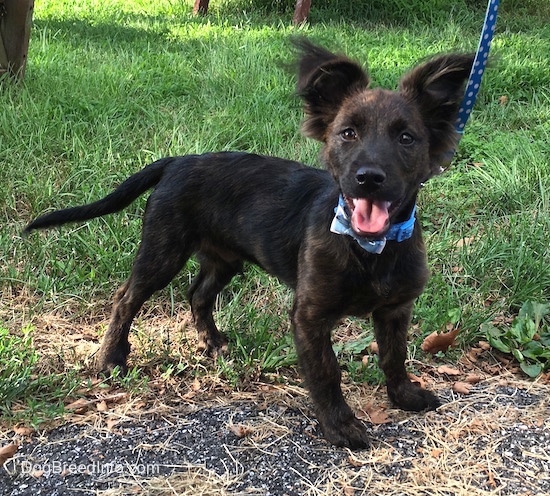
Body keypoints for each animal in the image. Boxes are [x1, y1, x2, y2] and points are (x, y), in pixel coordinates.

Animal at [23, 39, 476, 450]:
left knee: (198, 294)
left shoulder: (396, 309)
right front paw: (340, 427)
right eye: (348, 133)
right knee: (126, 297)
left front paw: (404, 396)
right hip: (162, 251)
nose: (369, 178)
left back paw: (211, 342)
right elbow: (327, 372)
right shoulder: (310, 315)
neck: (368, 248)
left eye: (407, 138)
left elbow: (394, 356)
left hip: (225, 259)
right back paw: (112, 359)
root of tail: (178, 160)